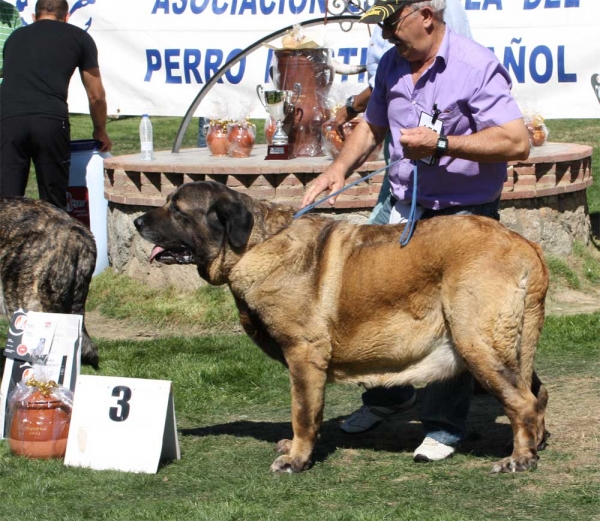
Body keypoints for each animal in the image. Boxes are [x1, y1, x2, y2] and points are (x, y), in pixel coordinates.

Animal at [134, 181, 552, 474]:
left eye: (177, 210)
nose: (138, 221)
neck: (253, 245)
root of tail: (527, 245)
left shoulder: (303, 355)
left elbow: (303, 413)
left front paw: (297, 459)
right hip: (509, 347)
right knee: (537, 393)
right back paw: (535, 444)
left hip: (477, 342)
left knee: (522, 402)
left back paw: (519, 459)